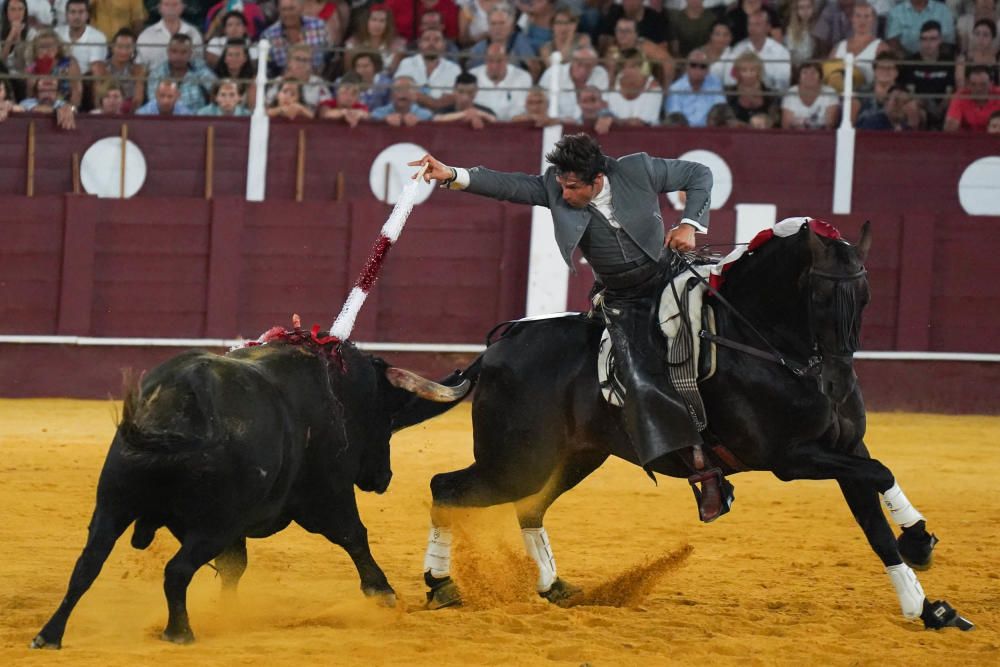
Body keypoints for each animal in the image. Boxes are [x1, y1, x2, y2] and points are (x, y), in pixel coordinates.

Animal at [29, 340, 470, 648]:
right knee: (176, 570)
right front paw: (383, 594)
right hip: (213, 523)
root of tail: (179, 402)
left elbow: (233, 566)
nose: (383, 477)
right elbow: (353, 535)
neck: (338, 393)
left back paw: (49, 635)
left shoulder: (235, 525)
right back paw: (179, 632)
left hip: (113, 506)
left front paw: (228, 613)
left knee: (87, 566)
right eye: (387, 415)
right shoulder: (325, 494)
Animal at [418, 219, 972, 632]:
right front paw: (920, 548)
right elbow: (880, 475)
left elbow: (874, 517)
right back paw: (441, 585)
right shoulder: (790, 458)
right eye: (817, 298)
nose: (835, 383)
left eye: (867, 296)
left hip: (572, 458)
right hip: (515, 459)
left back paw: (553, 587)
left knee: (527, 506)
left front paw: (925, 603)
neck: (768, 343)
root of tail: (494, 351)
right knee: (446, 487)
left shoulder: (846, 448)